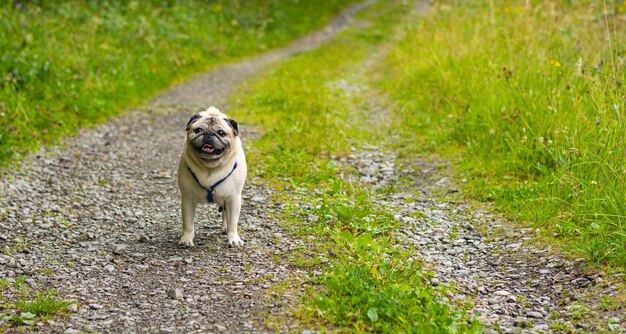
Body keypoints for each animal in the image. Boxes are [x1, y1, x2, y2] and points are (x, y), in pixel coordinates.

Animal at [178, 107, 246, 248]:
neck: (210, 168)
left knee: (226, 214)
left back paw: (225, 228)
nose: (208, 133)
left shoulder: (234, 199)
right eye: (198, 130)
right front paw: (187, 239)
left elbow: (233, 222)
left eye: (221, 133)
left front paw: (233, 238)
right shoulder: (187, 199)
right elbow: (188, 222)